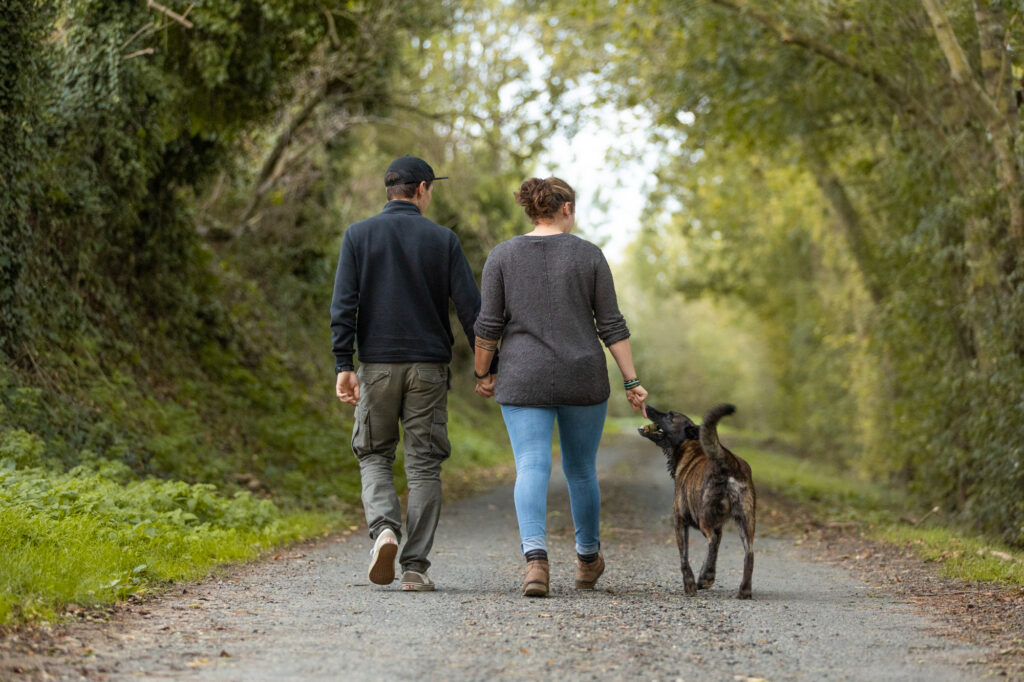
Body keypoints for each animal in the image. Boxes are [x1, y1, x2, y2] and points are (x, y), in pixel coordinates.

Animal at [634, 401, 757, 598]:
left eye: (670, 415)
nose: (646, 405)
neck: (688, 446)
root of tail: (729, 461)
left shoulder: (679, 521)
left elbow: (684, 557)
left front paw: (691, 584)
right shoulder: (718, 526)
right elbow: (710, 553)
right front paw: (703, 578)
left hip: (703, 518)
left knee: (712, 540)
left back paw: (709, 577)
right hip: (745, 520)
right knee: (749, 553)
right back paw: (743, 589)